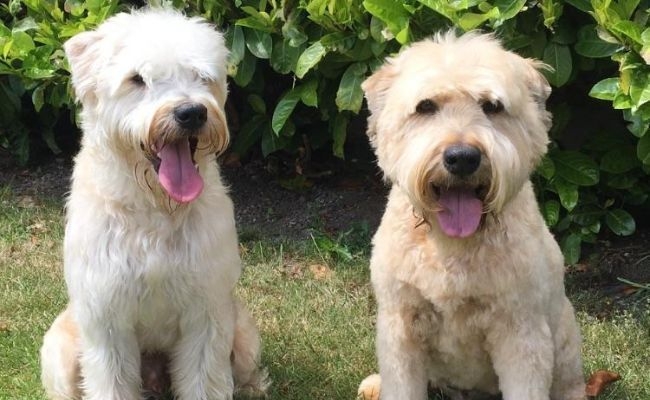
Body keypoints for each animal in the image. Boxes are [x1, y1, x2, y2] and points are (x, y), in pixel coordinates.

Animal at [356, 31, 584, 400]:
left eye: (492, 106)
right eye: (426, 106)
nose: (462, 157)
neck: (451, 245)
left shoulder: (521, 334)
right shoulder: (400, 328)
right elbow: (401, 384)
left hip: (564, 341)